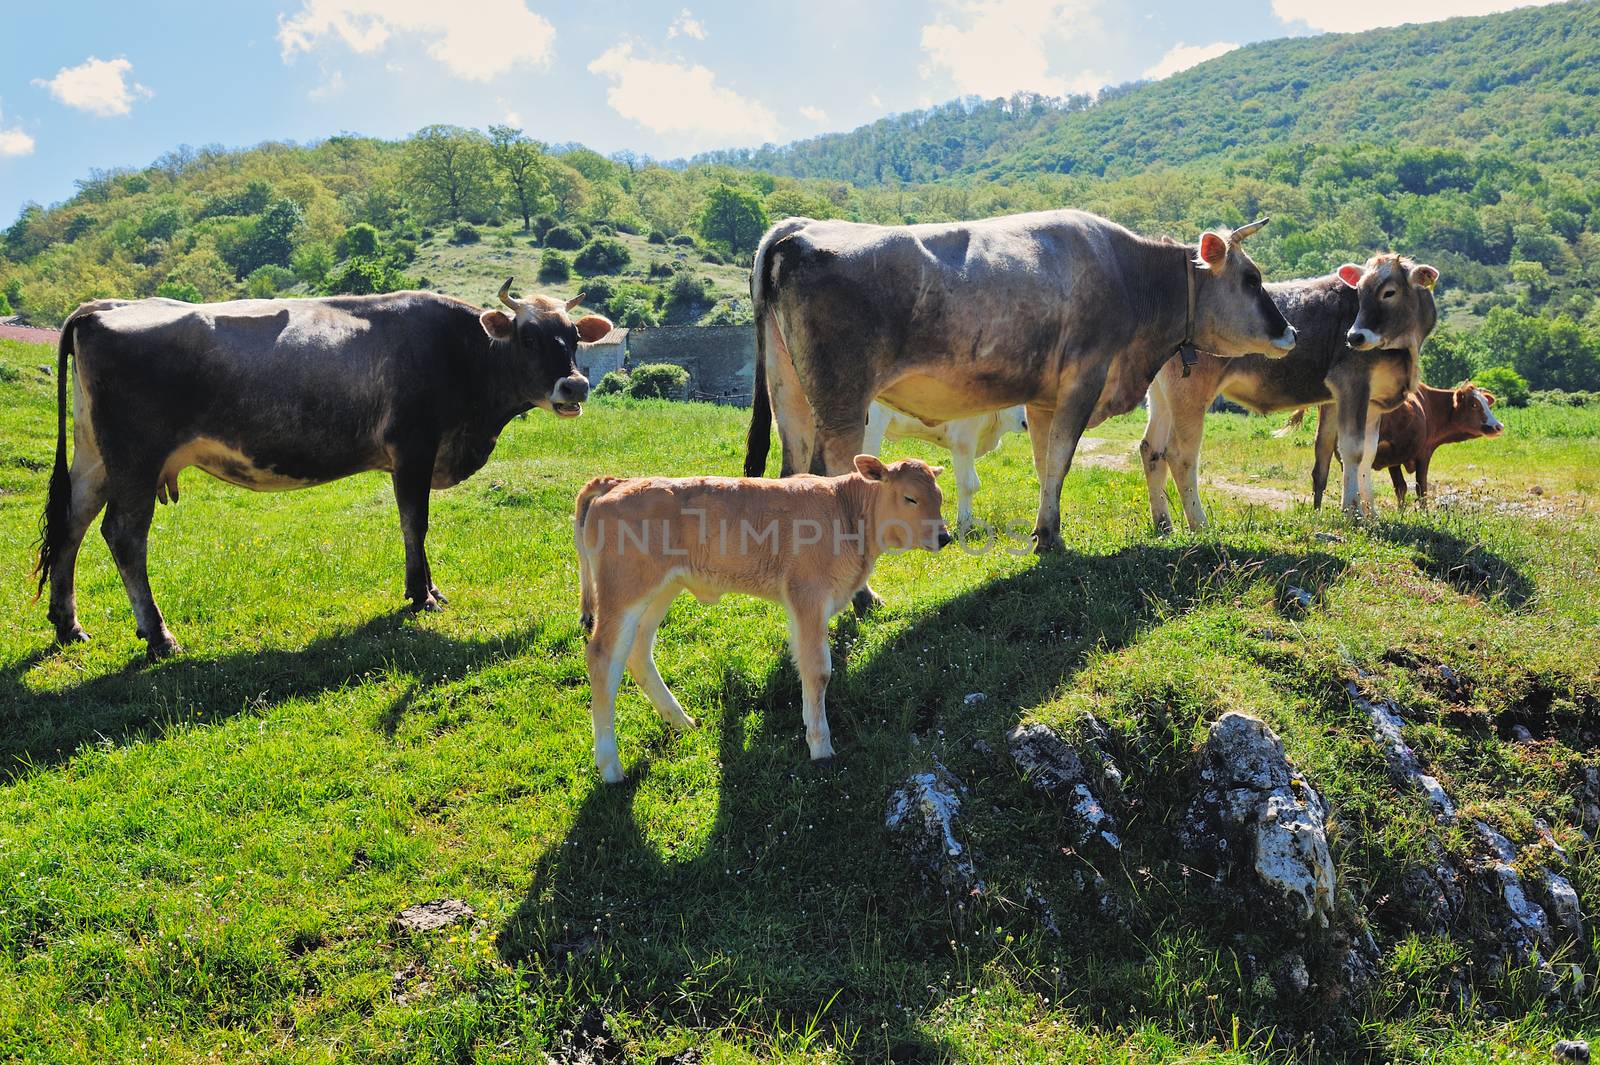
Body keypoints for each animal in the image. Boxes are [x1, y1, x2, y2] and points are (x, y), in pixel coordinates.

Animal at [39, 279, 611, 655]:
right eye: (529, 337)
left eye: (574, 338)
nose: (576, 385)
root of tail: (100, 307)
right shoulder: (414, 447)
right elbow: (415, 522)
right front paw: (420, 595)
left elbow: (412, 524)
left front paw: (428, 589)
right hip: (135, 460)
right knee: (124, 535)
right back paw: (158, 635)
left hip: (95, 458)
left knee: (71, 525)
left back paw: (68, 626)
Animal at [576, 450, 947, 777]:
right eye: (910, 498)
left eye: (940, 497)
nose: (944, 536)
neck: (845, 510)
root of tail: (618, 482)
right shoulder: (808, 596)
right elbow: (818, 671)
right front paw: (820, 747)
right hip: (624, 593)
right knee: (602, 658)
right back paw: (610, 766)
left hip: (661, 590)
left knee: (638, 652)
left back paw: (681, 721)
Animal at [1139, 252, 1440, 527]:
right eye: (1360, 292)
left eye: (1389, 292)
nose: (1355, 336)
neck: (1404, 348)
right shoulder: (1351, 383)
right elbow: (1352, 450)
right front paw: (1352, 514)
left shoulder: (1373, 402)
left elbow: (1367, 455)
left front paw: (1371, 515)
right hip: (1191, 391)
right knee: (1179, 454)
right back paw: (1200, 524)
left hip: (1161, 395)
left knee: (1151, 449)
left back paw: (1163, 524)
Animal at [1312, 382, 1497, 505]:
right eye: (1474, 404)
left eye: (1487, 403)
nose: (1498, 426)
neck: (1429, 405)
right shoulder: (1424, 453)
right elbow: (1421, 489)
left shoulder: (1393, 457)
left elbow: (1400, 487)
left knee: (1321, 474)